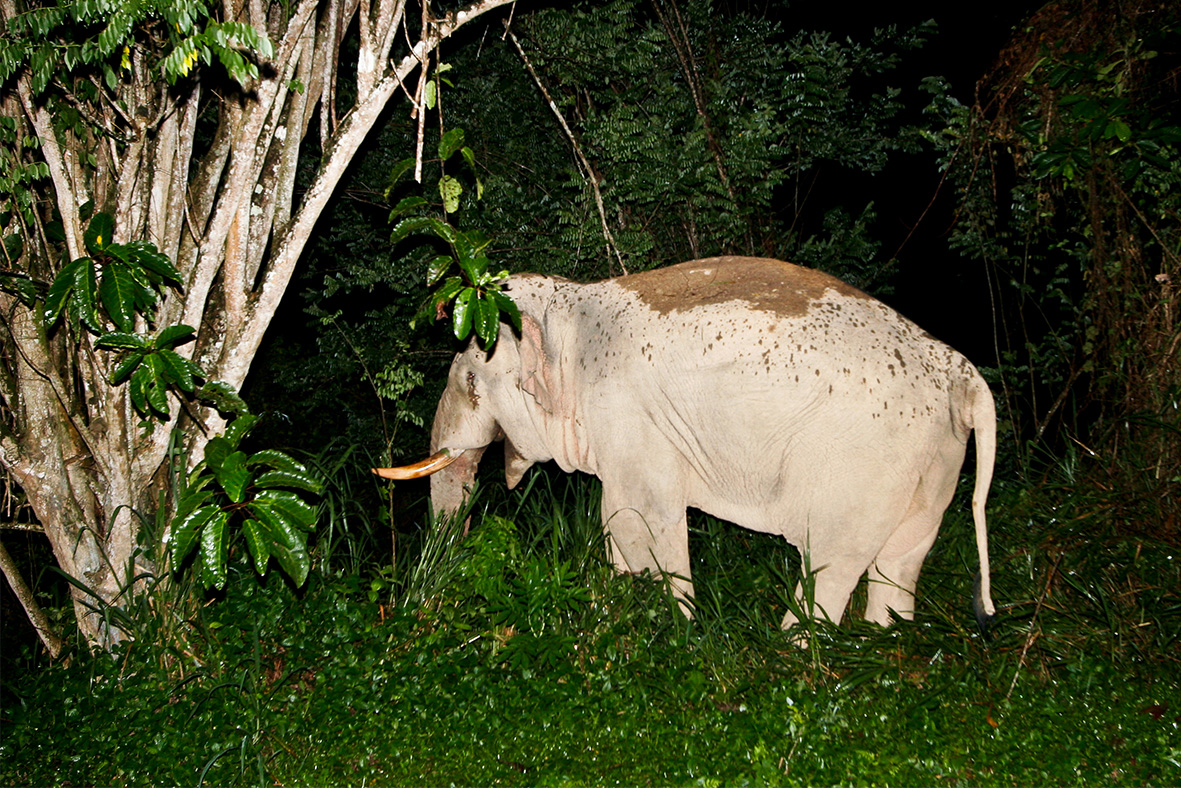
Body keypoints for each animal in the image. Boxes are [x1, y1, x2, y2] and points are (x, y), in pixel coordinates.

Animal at [377, 256, 996, 633]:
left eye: (470, 380)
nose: (426, 599)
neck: (571, 307)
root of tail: (964, 375)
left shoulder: (629, 417)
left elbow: (637, 518)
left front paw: (673, 629)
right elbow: (619, 522)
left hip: (865, 458)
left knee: (830, 559)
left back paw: (792, 655)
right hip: (933, 455)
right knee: (902, 557)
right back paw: (882, 644)